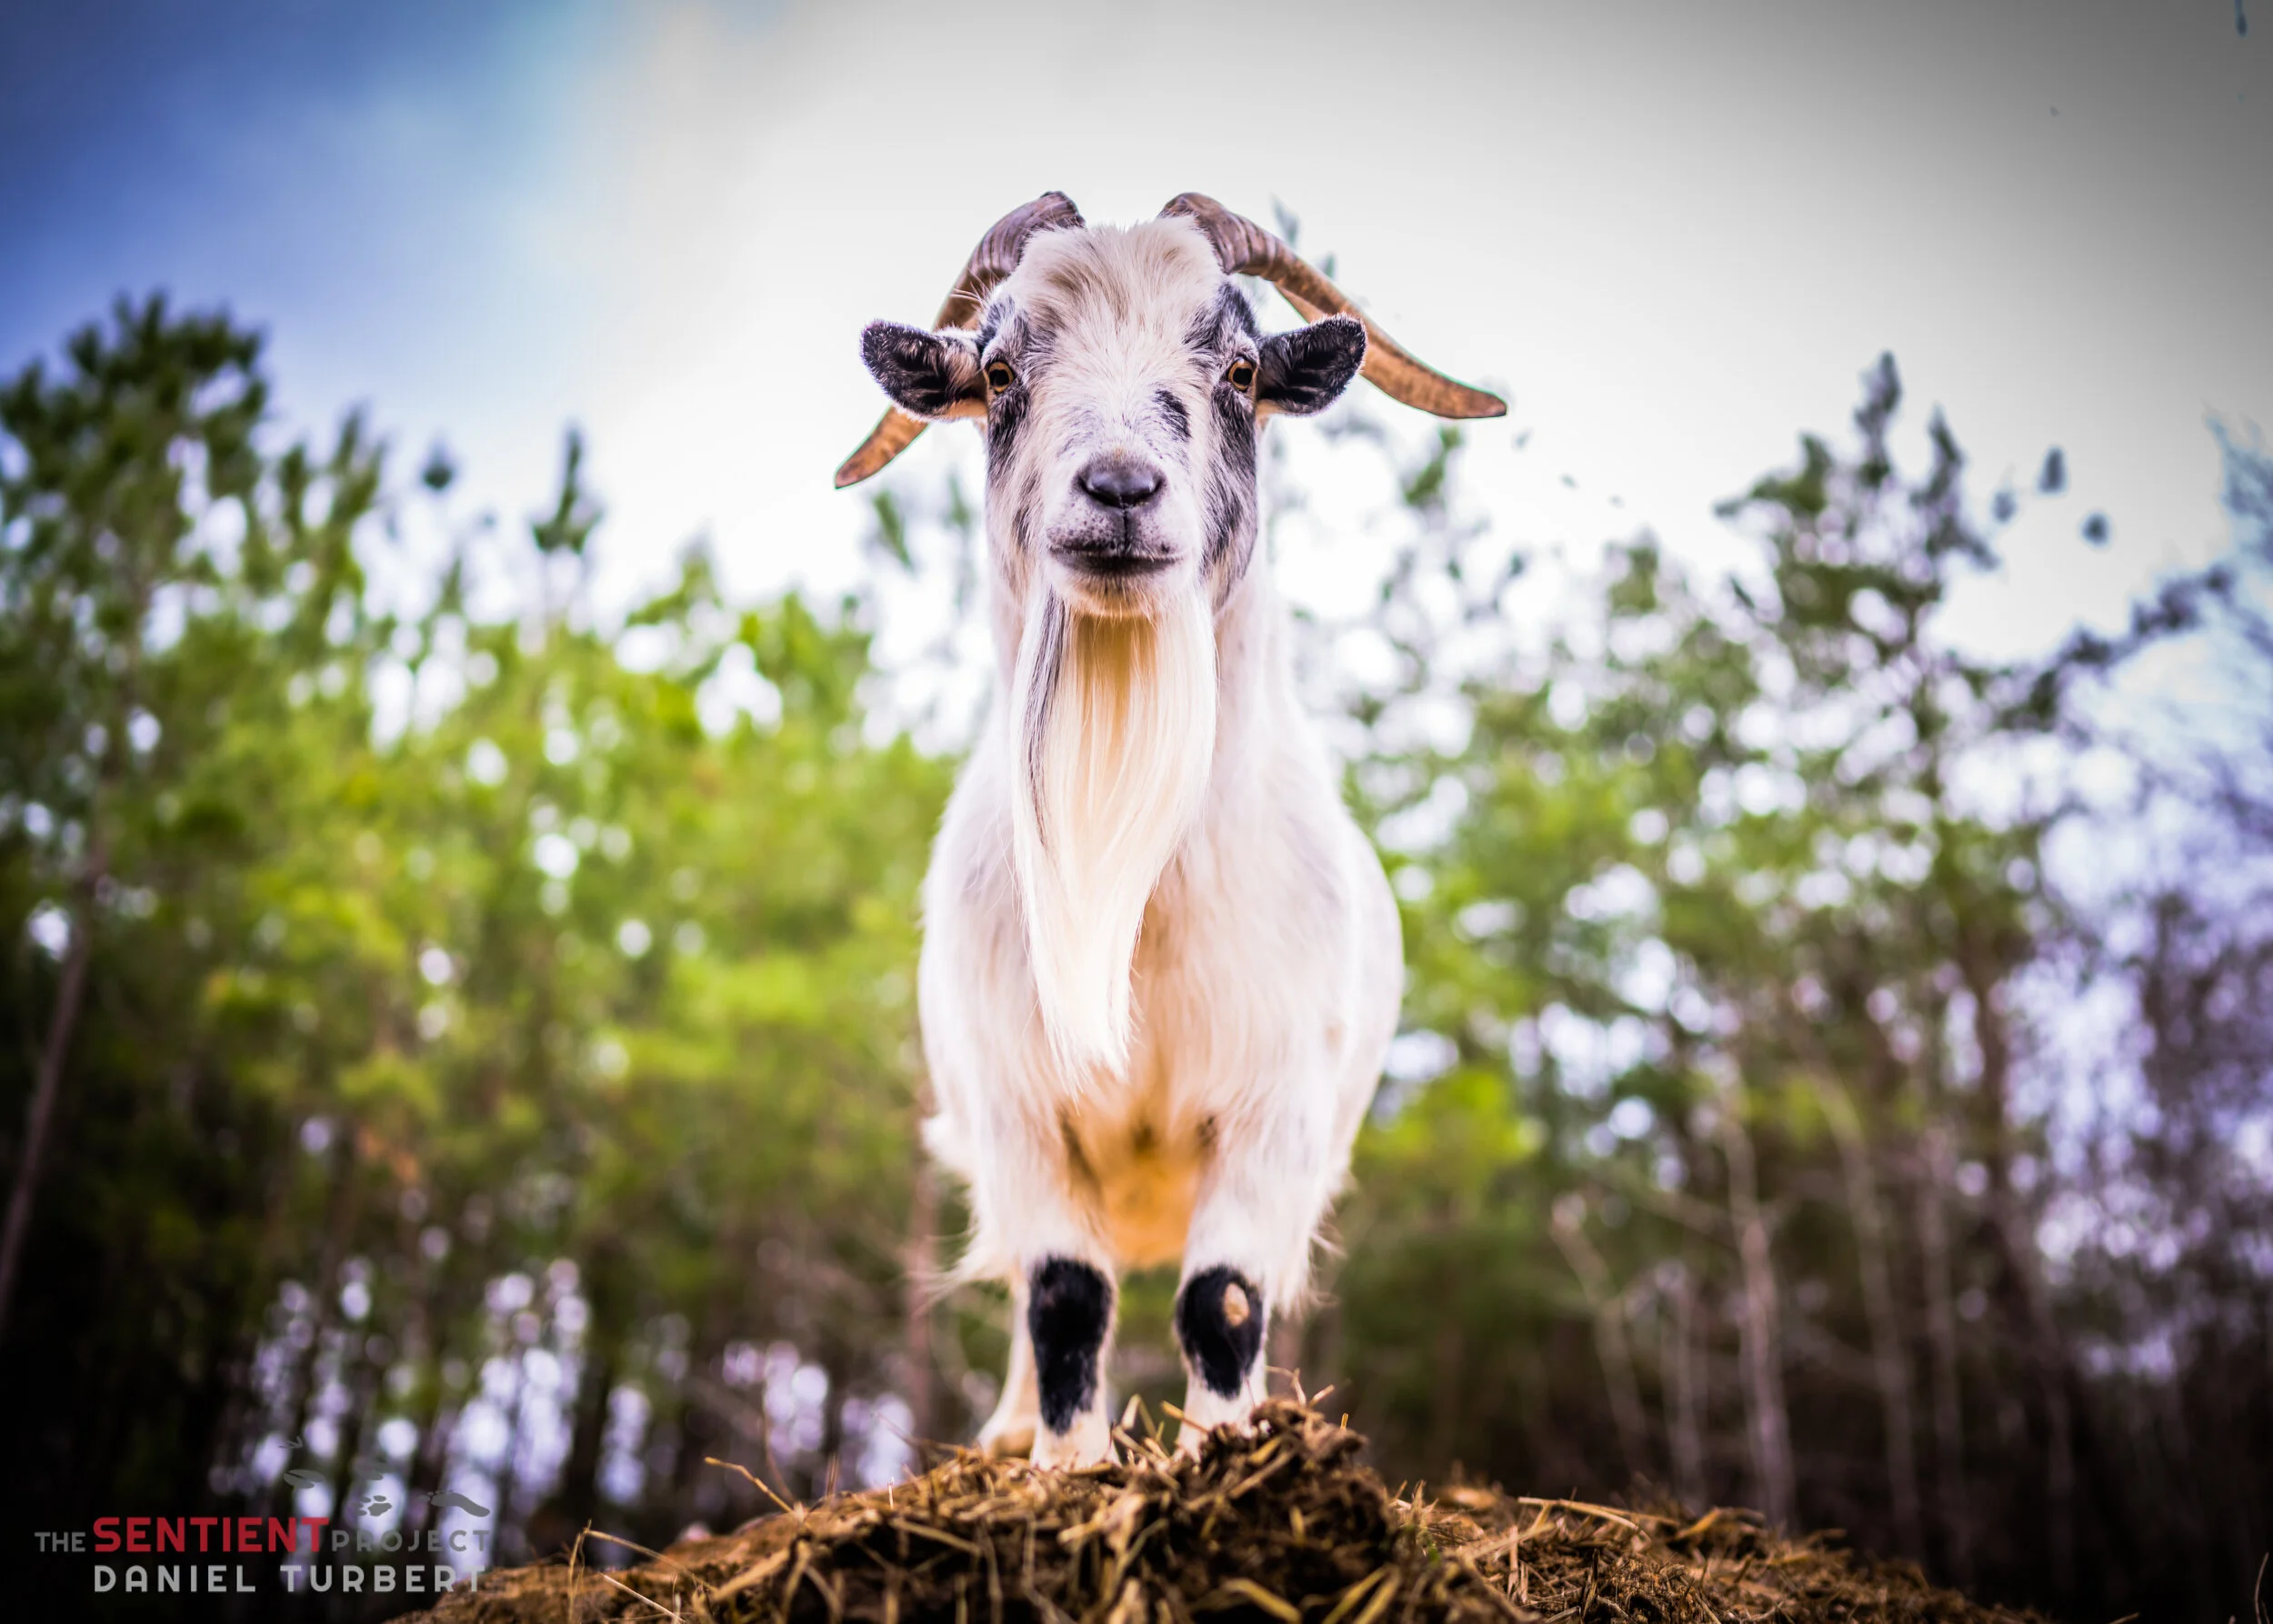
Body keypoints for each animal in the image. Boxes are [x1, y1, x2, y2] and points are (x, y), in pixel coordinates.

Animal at [838, 193, 1502, 1466]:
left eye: (1238, 370)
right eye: (1001, 371)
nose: (1118, 488)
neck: (1136, 881)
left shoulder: (1273, 1106)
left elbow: (1222, 1300)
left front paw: (1222, 1459)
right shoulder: (1018, 1105)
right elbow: (1062, 1296)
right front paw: (1066, 1467)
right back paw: (1003, 1436)